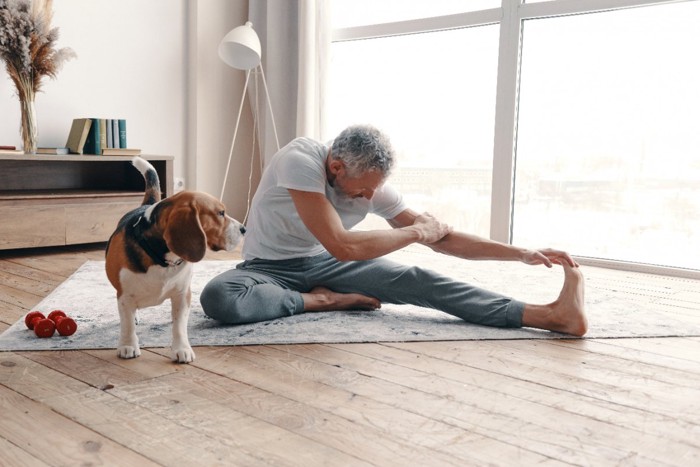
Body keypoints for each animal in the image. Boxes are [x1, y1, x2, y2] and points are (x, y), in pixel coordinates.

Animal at [105, 159, 245, 364]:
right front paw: (128, 345)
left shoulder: (182, 293)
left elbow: (179, 326)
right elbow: (127, 324)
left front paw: (182, 349)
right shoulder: (124, 296)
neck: (162, 260)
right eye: (220, 213)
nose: (244, 229)